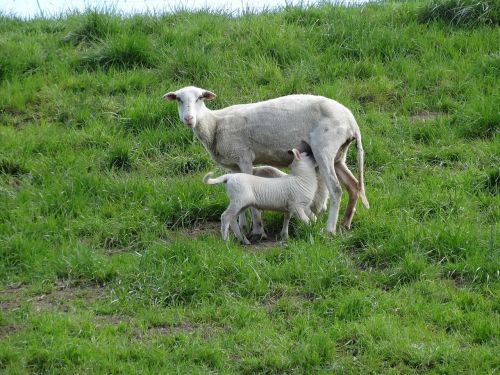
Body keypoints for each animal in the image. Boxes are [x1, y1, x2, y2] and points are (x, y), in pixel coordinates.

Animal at [163, 86, 368, 236]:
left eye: (200, 98)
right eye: (179, 99)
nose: (189, 118)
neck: (215, 125)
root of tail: (352, 123)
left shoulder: (244, 157)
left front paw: (256, 229)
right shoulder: (233, 165)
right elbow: (239, 195)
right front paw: (242, 226)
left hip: (324, 149)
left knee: (336, 189)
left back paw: (330, 229)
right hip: (338, 155)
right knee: (354, 186)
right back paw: (345, 224)